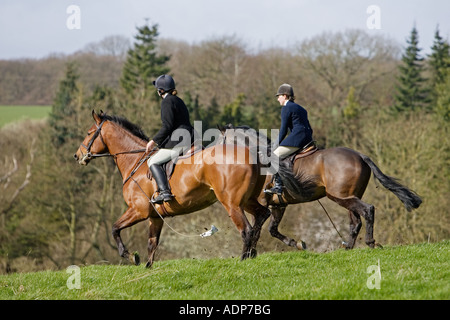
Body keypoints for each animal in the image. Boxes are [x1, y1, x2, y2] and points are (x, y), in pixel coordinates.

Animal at [74, 111, 270, 266]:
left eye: (89, 133)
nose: (78, 156)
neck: (135, 162)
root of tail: (252, 155)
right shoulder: (155, 217)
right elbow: (152, 244)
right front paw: (148, 268)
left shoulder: (138, 210)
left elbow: (115, 228)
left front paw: (131, 257)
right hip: (246, 201)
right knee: (261, 216)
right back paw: (252, 254)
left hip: (232, 204)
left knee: (247, 230)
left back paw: (243, 260)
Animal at [220, 125, 424, 250]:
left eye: (222, 142)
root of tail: (360, 155)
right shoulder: (278, 205)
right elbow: (272, 229)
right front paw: (296, 243)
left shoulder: (262, 203)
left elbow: (258, 229)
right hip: (348, 196)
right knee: (355, 221)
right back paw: (348, 247)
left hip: (340, 196)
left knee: (368, 210)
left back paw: (370, 242)